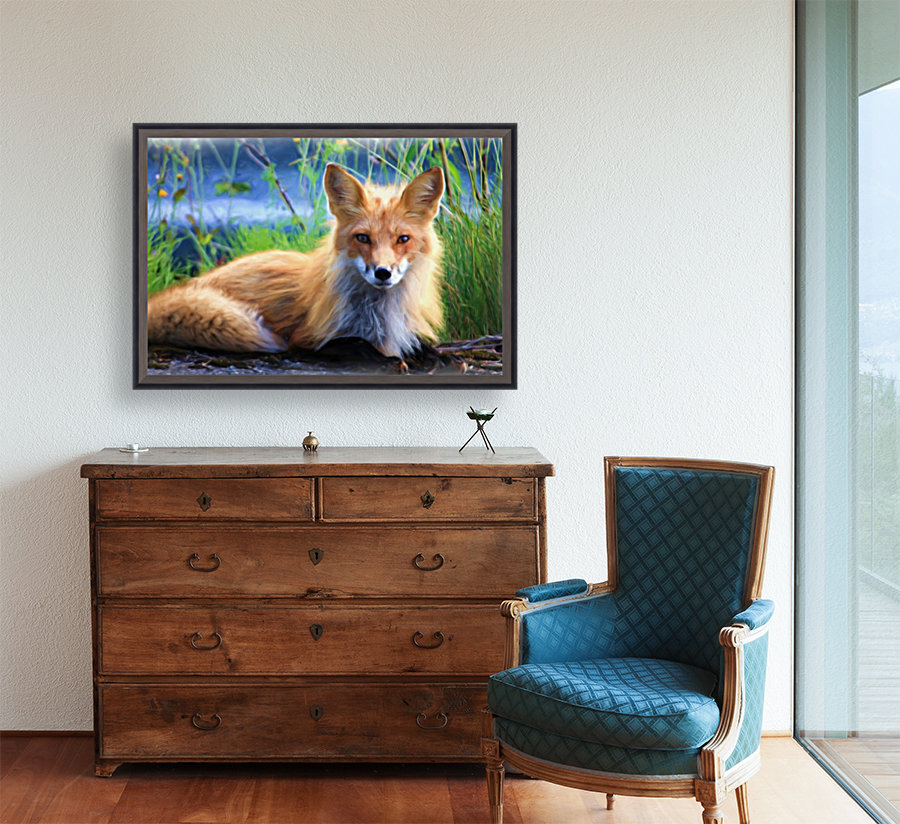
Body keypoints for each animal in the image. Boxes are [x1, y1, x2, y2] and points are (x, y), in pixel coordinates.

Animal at [147, 163, 446, 361]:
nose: (383, 273)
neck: (378, 316)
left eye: (403, 239)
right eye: (363, 238)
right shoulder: (309, 338)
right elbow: (358, 345)